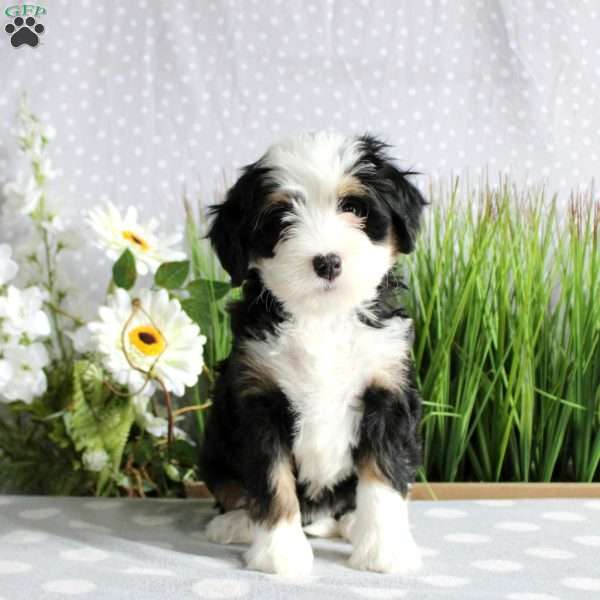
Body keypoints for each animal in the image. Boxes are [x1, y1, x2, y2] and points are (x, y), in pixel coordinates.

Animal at [203, 132, 426, 576]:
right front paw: (280, 553)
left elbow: (384, 470)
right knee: (229, 486)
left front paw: (385, 550)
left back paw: (351, 521)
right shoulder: (258, 397)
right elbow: (272, 478)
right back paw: (235, 522)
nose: (327, 262)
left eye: (354, 208)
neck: (322, 317)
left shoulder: (387, 388)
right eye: (280, 219)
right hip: (214, 447)